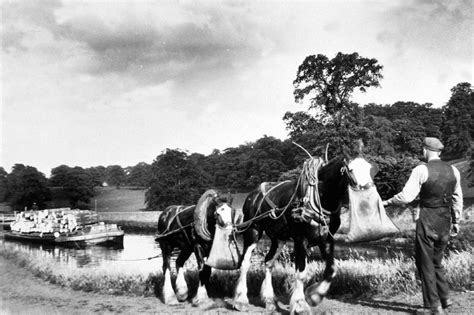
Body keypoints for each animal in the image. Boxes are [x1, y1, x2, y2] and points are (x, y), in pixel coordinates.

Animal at [231, 144, 380, 314]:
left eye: (372, 169)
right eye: (351, 169)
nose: (370, 197)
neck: (321, 196)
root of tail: (253, 194)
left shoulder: (327, 238)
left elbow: (331, 269)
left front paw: (314, 295)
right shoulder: (300, 239)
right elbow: (301, 272)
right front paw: (300, 304)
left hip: (278, 237)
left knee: (268, 262)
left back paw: (269, 301)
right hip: (253, 230)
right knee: (245, 263)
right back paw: (240, 300)